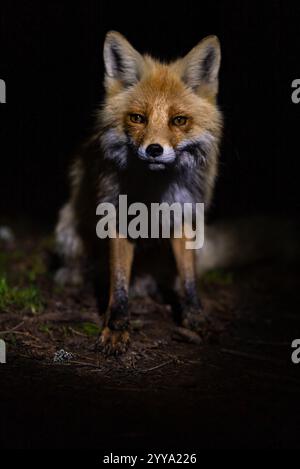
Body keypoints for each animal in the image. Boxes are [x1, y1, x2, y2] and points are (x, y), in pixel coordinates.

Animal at [54, 31, 223, 352]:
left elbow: (189, 279)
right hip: (69, 227)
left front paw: (195, 318)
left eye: (178, 120)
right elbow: (119, 283)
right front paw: (116, 328)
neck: (152, 191)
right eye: (137, 118)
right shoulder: (117, 216)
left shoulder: (183, 215)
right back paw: (75, 279)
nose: (154, 150)